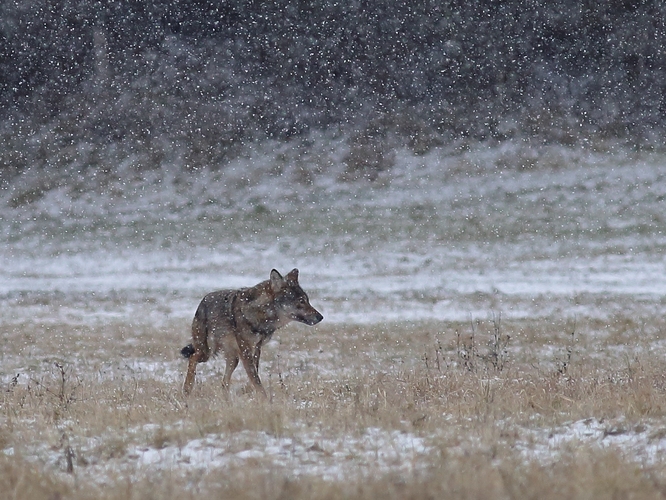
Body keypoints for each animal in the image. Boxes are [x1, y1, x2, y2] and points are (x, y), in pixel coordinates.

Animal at [179, 268, 320, 396]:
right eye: (301, 301)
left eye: (307, 300)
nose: (321, 317)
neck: (261, 313)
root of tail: (202, 301)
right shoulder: (245, 349)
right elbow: (256, 380)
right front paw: (264, 400)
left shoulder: (256, 348)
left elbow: (254, 375)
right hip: (207, 352)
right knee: (192, 358)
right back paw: (187, 389)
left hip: (233, 359)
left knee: (224, 383)